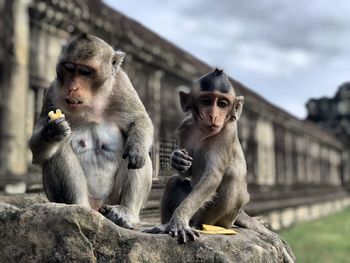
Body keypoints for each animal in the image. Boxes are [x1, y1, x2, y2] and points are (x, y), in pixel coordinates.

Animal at [30, 34, 154, 230]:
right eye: (69, 68)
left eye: (85, 72)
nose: (72, 87)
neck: (93, 101)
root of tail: (98, 208)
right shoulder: (53, 92)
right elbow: (38, 154)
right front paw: (52, 131)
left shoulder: (122, 83)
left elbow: (139, 119)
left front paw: (137, 148)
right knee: (59, 150)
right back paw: (79, 209)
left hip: (111, 199)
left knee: (140, 157)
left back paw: (125, 213)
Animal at [145, 69, 296, 262]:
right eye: (206, 102)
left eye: (222, 104)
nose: (213, 115)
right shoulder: (185, 126)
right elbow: (186, 171)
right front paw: (177, 159)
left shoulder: (227, 132)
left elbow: (213, 176)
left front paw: (179, 220)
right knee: (174, 181)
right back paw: (165, 224)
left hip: (219, 217)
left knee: (229, 185)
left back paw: (201, 226)